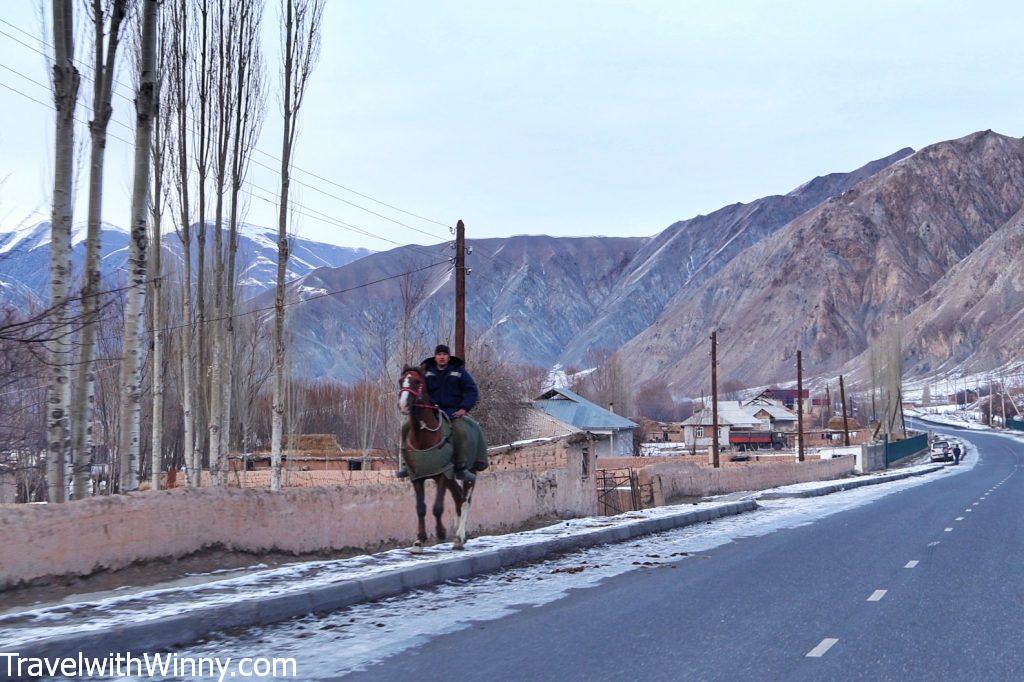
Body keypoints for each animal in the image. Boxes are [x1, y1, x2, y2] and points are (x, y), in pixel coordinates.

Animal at [401, 364, 477, 548]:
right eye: (401, 381)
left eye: (416, 382)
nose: (403, 405)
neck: (423, 437)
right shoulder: (417, 477)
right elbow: (420, 508)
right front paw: (419, 540)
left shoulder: (442, 474)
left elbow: (437, 508)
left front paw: (441, 532)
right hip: (450, 478)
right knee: (458, 498)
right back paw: (459, 536)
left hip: (470, 472)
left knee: (465, 501)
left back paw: (459, 536)